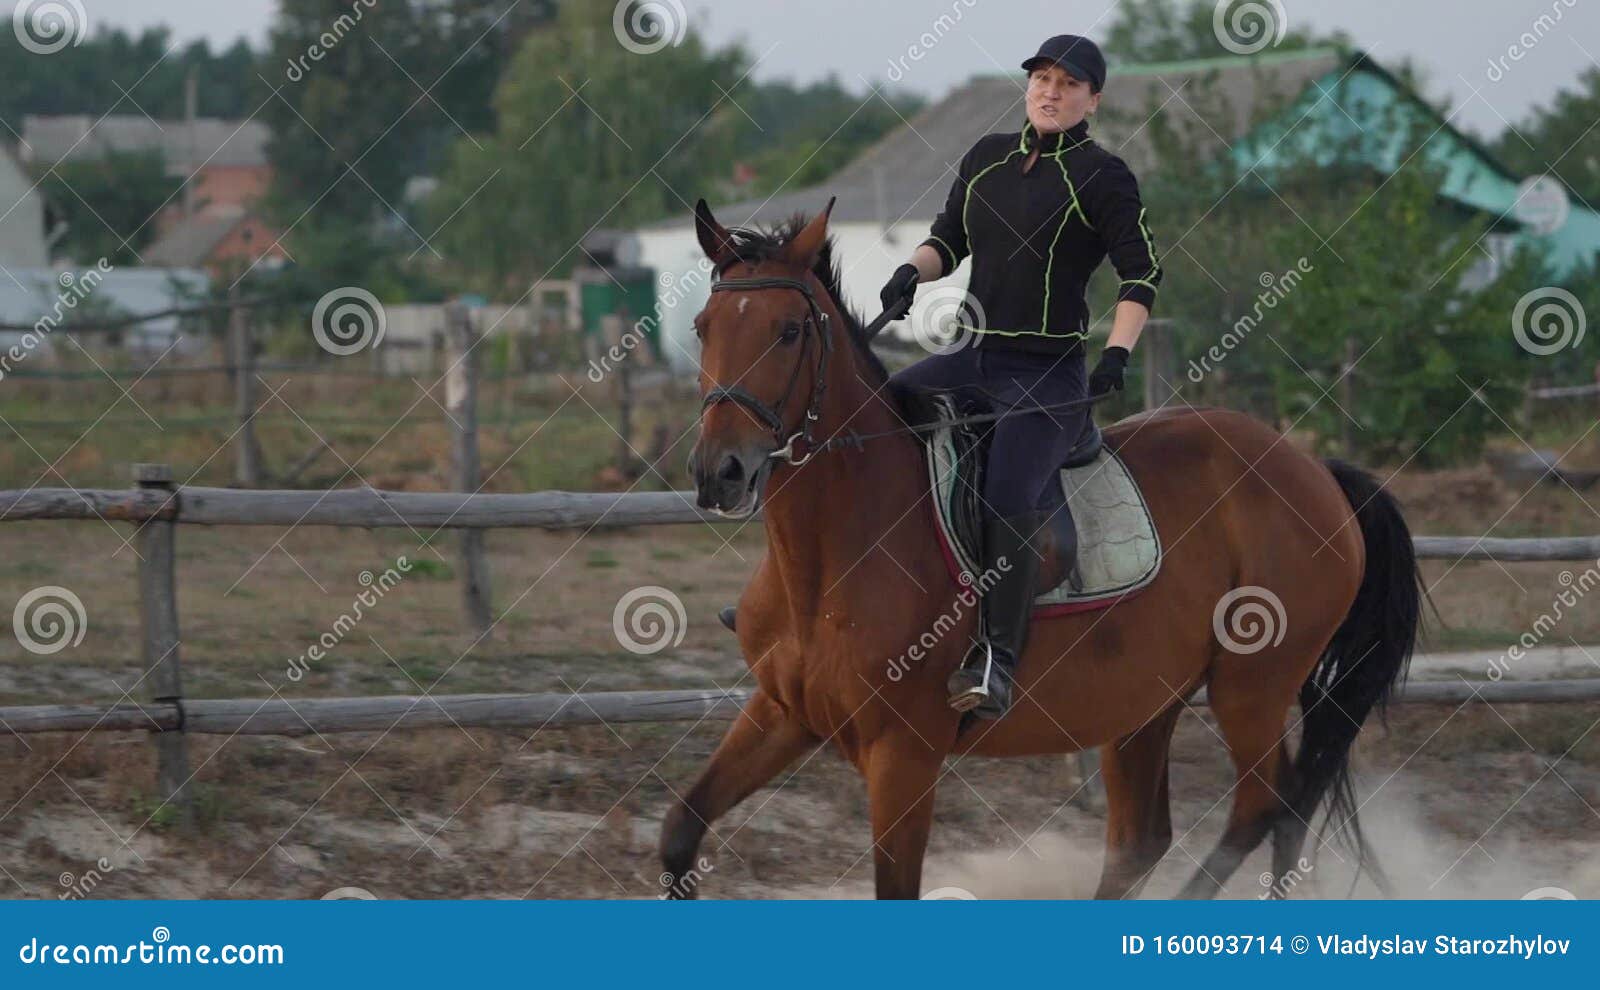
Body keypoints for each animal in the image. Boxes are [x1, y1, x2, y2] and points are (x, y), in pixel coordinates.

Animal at [665, 199, 1427, 895]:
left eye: (789, 331)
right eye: (703, 329)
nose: (718, 472)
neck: (828, 562)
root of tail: (1312, 469)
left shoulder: (903, 756)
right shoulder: (781, 713)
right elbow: (681, 829)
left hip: (1253, 687)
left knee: (1267, 808)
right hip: (1145, 704)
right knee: (1148, 840)